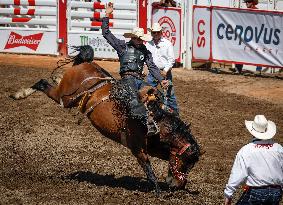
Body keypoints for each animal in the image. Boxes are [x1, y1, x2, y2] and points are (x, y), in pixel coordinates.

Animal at [10, 45, 202, 196]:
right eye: (188, 162)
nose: (178, 185)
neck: (156, 122)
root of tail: (85, 64)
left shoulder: (157, 148)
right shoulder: (137, 148)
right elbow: (148, 169)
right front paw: (158, 191)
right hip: (65, 97)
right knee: (43, 83)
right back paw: (20, 94)